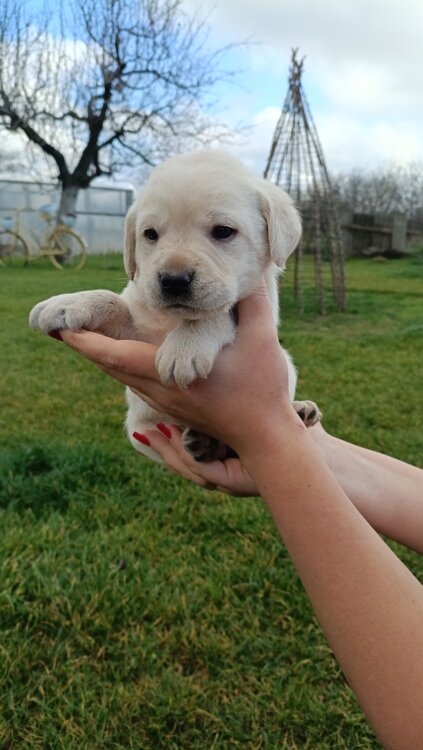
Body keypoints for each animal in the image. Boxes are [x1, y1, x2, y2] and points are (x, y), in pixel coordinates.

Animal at [29, 150, 320, 463]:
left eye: (223, 231)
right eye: (150, 234)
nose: (174, 280)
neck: (172, 320)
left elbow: (220, 312)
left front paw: (186, 345)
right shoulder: (135, 331)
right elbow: (112, 301)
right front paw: (70, 301)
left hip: (287, 365)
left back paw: (299, 410)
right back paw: (207, 443)